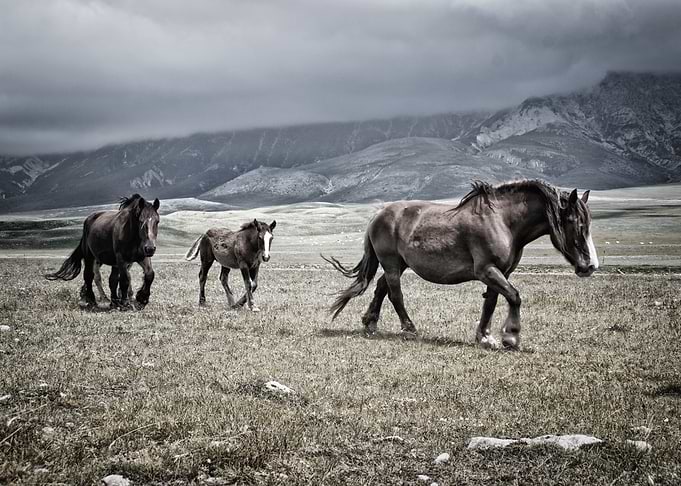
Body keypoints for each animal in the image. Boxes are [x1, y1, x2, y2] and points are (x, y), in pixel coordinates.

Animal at [322, 180, 599, 350]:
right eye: (575, 222)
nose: (590, 266)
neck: (504, 221)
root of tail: (378, 215)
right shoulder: (486, 270)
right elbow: (514, 296)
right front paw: (510, 337)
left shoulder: (499, 272)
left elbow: (492, 302)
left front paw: (485, 337)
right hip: (391, 264)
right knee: (394, 293)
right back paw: (409, 329)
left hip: (399, 264)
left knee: (381, 287)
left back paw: (370, 323)